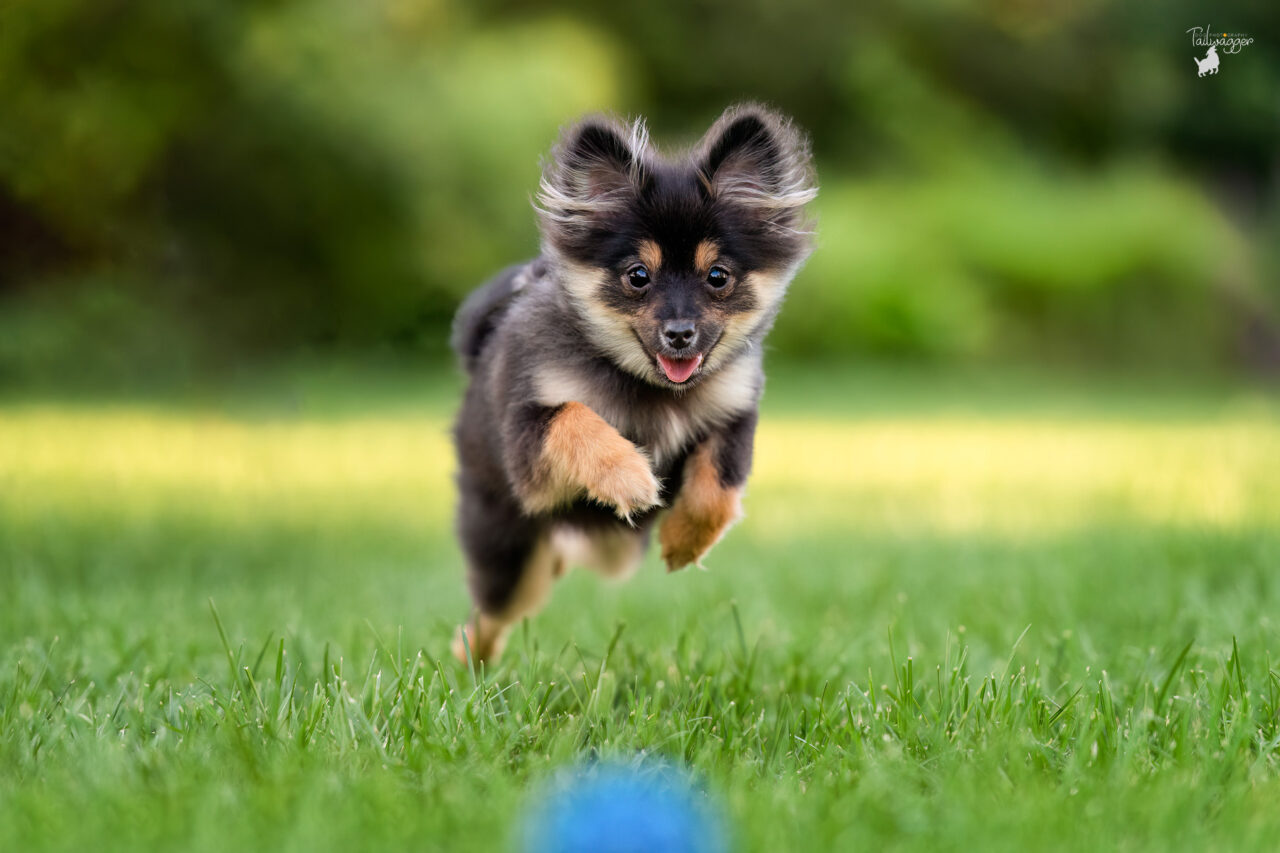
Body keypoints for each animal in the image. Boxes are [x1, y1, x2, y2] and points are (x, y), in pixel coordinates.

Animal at [450, 103, 814, 660]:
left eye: (718, 277)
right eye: (638, 276)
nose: (680, 333)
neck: (651, 388)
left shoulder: (734, 412)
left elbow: (720, 486)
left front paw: (685, 539)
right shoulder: (528, 447)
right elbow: (574, 416)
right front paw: (628, 476)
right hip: (509, 549)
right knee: (489, 615)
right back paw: (471, 661)